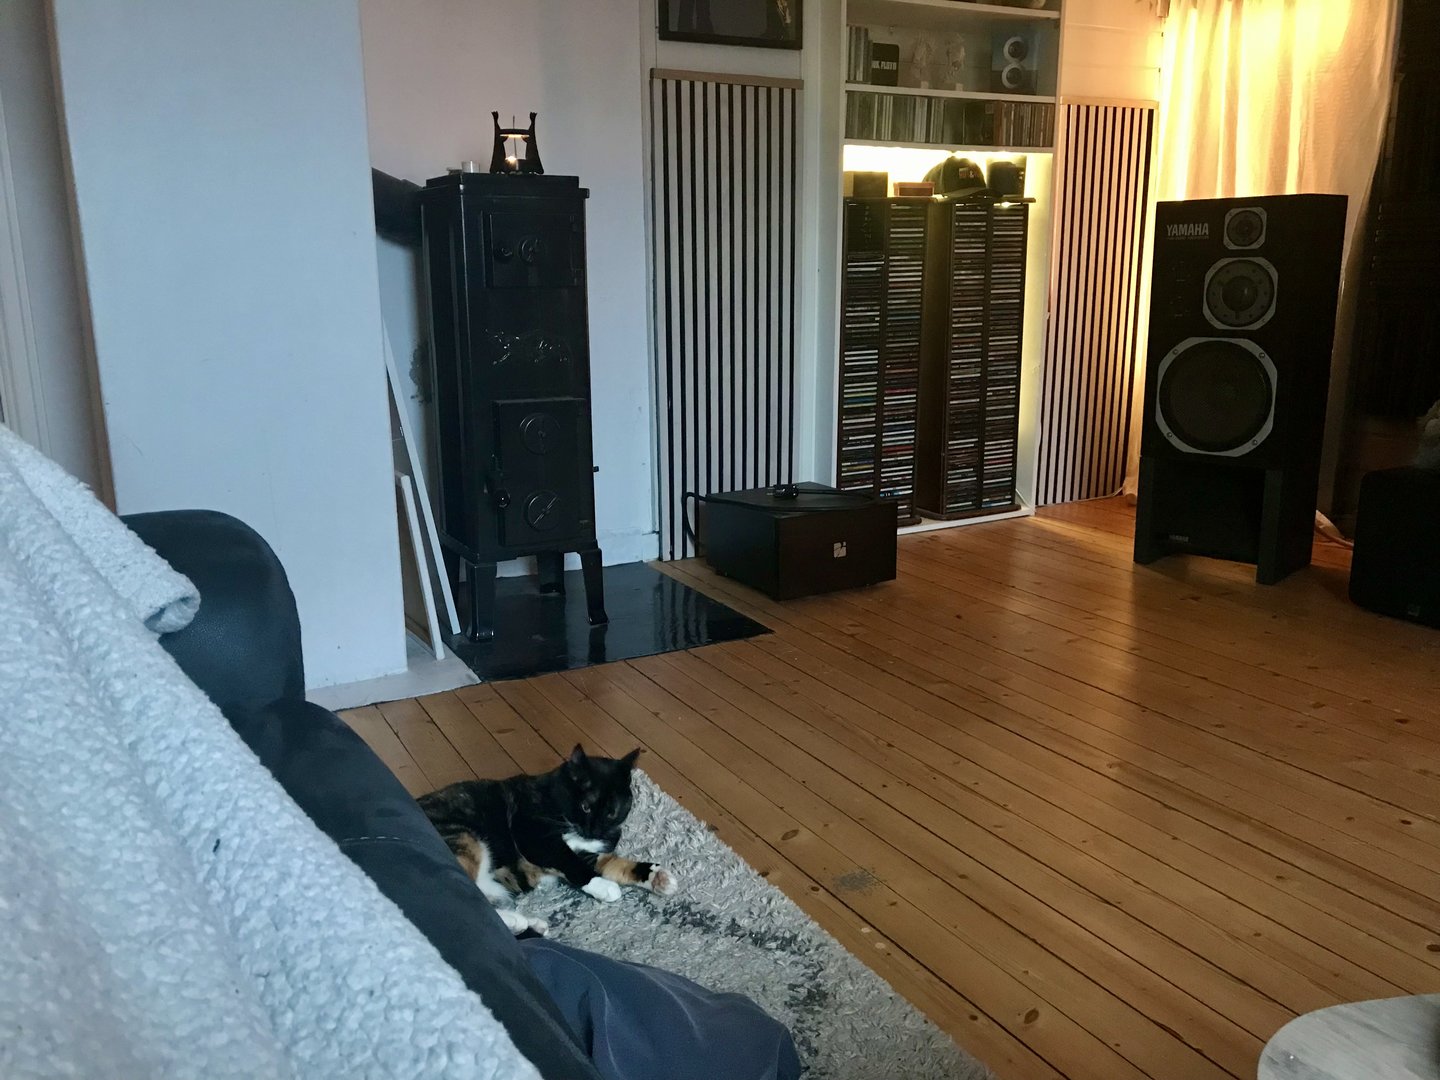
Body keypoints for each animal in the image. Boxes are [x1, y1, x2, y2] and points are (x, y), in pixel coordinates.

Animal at [417, 744, 677, 936]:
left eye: (612, 812)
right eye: (586, 806)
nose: (594, 829)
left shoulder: (589, 853)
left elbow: (615, 864)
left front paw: (658, 878)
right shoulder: (534, 835)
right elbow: (569, 860)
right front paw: (604, 887)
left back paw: (529, 923)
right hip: (464, 839)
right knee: (459, 904)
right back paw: (518, 921)